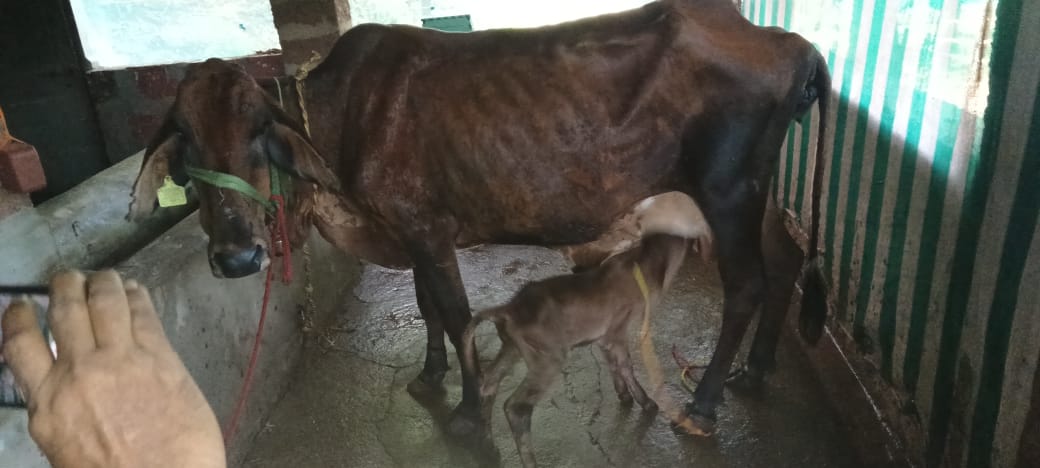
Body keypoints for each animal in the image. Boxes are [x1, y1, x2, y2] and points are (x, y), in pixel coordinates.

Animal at [127, 0, 830, 438]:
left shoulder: (428, 231)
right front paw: (430, 373)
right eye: (184, 143)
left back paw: (706, 404)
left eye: (258, 135)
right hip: (761, 197)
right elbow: (426, 306)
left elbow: (456, 310)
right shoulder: (410, 231)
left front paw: (468, 411)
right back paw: (754, 372)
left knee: (747, 286)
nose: (237, 257)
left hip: (729, 191)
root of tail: (789, 41)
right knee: (787, 264)